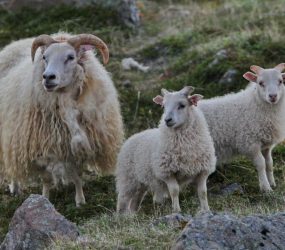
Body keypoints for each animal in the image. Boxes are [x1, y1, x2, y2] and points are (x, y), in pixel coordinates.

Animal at [0, 32, 123, 206]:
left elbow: (77, 175)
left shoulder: (77, 147)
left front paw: (80, 201)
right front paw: (44, 199)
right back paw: (15, 187)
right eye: (44, 57)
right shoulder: (40, 147)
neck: (65, 102)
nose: (47, 77)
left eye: (70, 57)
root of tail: (16, 43)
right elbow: (45, 178)